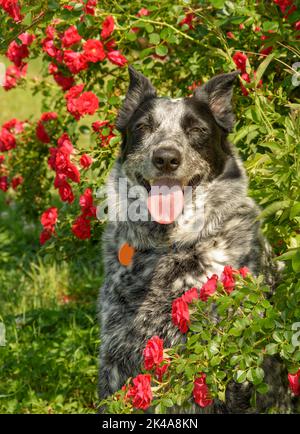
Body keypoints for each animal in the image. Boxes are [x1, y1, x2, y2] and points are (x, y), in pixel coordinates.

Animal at [98, 66, 292, 412]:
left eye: (197, 130)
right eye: (143, 127)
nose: (166, 158)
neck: (169, 247)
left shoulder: (233, 364)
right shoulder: (116, 353)